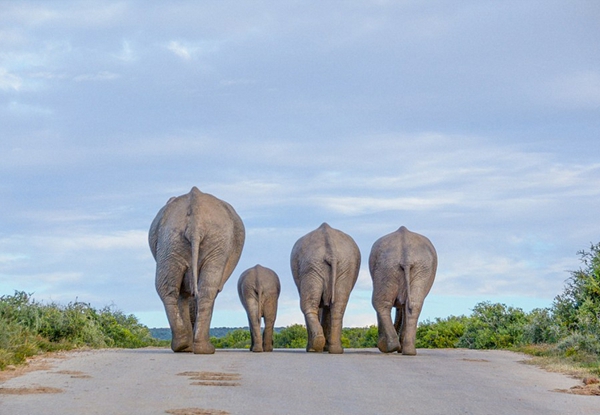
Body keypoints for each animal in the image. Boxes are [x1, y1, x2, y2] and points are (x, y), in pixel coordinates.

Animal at [149, 188, 245, 354]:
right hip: (207, 240)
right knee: (203, 288)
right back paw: (200, 348)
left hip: (172, 240)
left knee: (170, 288)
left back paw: (185, 346)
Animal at [290, 224, 360, 354]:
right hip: (343, 266)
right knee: (338, 306)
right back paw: (335, 350)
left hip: (312, 265)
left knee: (309, 305)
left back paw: (314, 348)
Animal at [370, 226, 436, 356]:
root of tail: (407, 256)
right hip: (418, 268)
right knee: (413, 304)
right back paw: (407, 351)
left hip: (388, 266)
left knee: (380, 303)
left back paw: (393, 348)